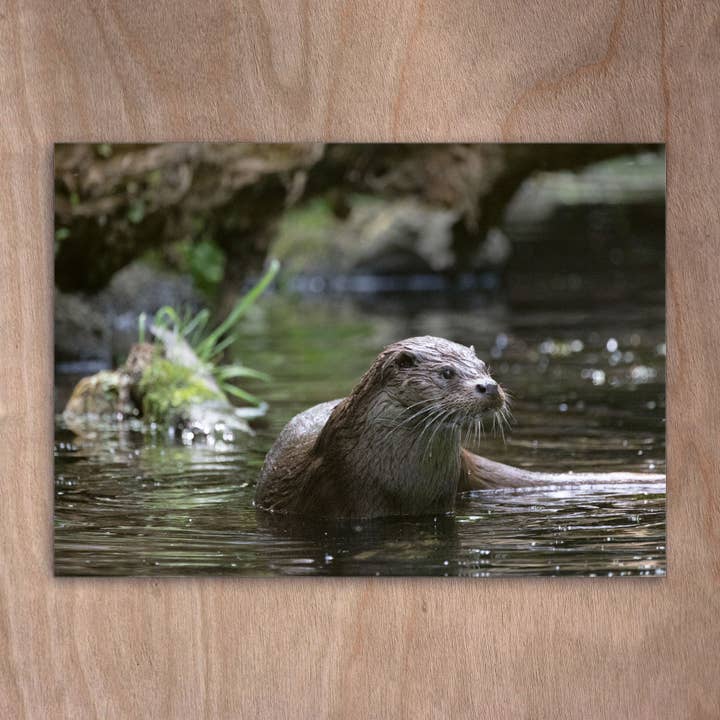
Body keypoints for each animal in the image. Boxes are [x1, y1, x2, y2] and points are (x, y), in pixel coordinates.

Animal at [255, 336, 665, 519]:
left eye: (485, 367)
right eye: (447, 372)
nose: (490, 387)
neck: (401, 479)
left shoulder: (441, 500)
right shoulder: (349, 495)